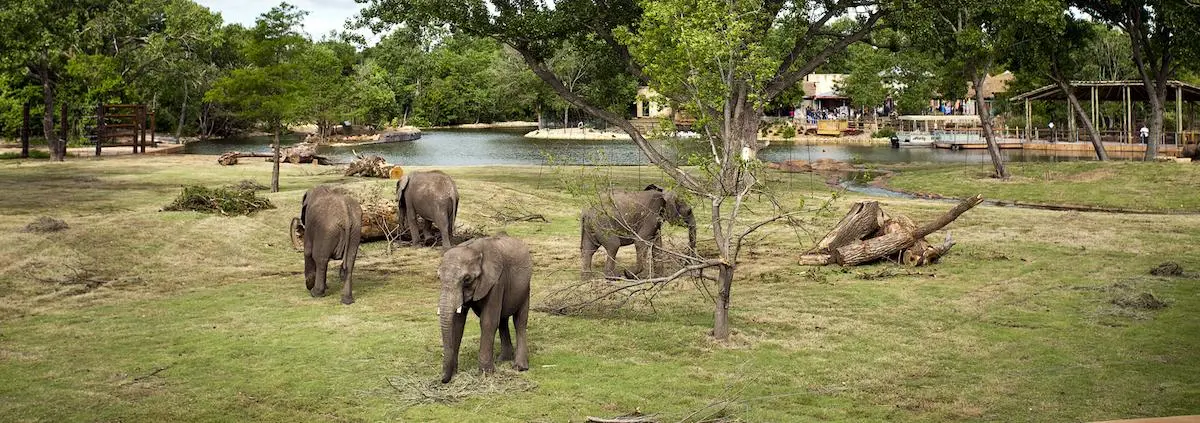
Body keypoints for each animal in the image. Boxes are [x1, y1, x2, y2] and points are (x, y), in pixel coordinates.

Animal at [437, 235, 532, 384]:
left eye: (467, 279)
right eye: (439, 277)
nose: (443, 380)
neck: (474, 249)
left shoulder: (497, 281)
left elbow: (488, 321)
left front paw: (486, 373)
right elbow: (457, 323)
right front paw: (453, 374)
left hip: (525, 288)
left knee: (519, 322)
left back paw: (519, 367)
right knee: (502, 320)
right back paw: (503, 359)